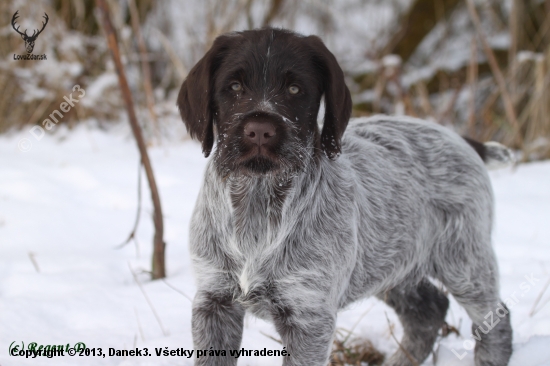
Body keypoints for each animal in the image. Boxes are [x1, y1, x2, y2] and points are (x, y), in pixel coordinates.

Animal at [179, 28, 516, 366]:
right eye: (234, 86)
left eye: (295, 89)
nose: (260, 130)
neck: (257, 200)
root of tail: (461, 140)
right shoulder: (214, 301)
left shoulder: (309, 316)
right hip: (391, 262)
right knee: (428, 310)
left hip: (463, 262)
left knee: (494, 318)